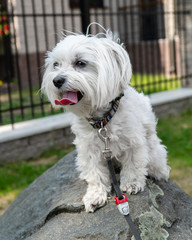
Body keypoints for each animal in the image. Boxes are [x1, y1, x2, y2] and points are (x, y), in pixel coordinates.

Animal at [42, 24, 170, 212]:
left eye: (80, 63)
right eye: (55, 65)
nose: (56, 80)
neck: (102, 120)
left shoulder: (133, 142)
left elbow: (133, 165)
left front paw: (131, 184)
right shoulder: (89, 149)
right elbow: (95, 174)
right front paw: (95, 195)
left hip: (154, 151)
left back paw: (159, 171)